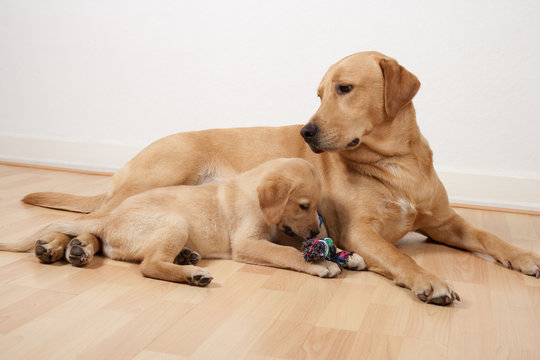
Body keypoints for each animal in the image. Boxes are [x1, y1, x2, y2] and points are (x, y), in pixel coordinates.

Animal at [7, 159, 368, 286]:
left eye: (316, 209)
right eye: (304, 205)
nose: (315, 232)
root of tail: (110, 220)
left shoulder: (278, 231)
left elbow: (292, 244)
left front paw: (345, 255)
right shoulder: (248, 243)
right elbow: (288, 253)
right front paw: (319, 263)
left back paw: (186, 258)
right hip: (174, 223)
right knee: (149, 265)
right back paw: (192, 273)